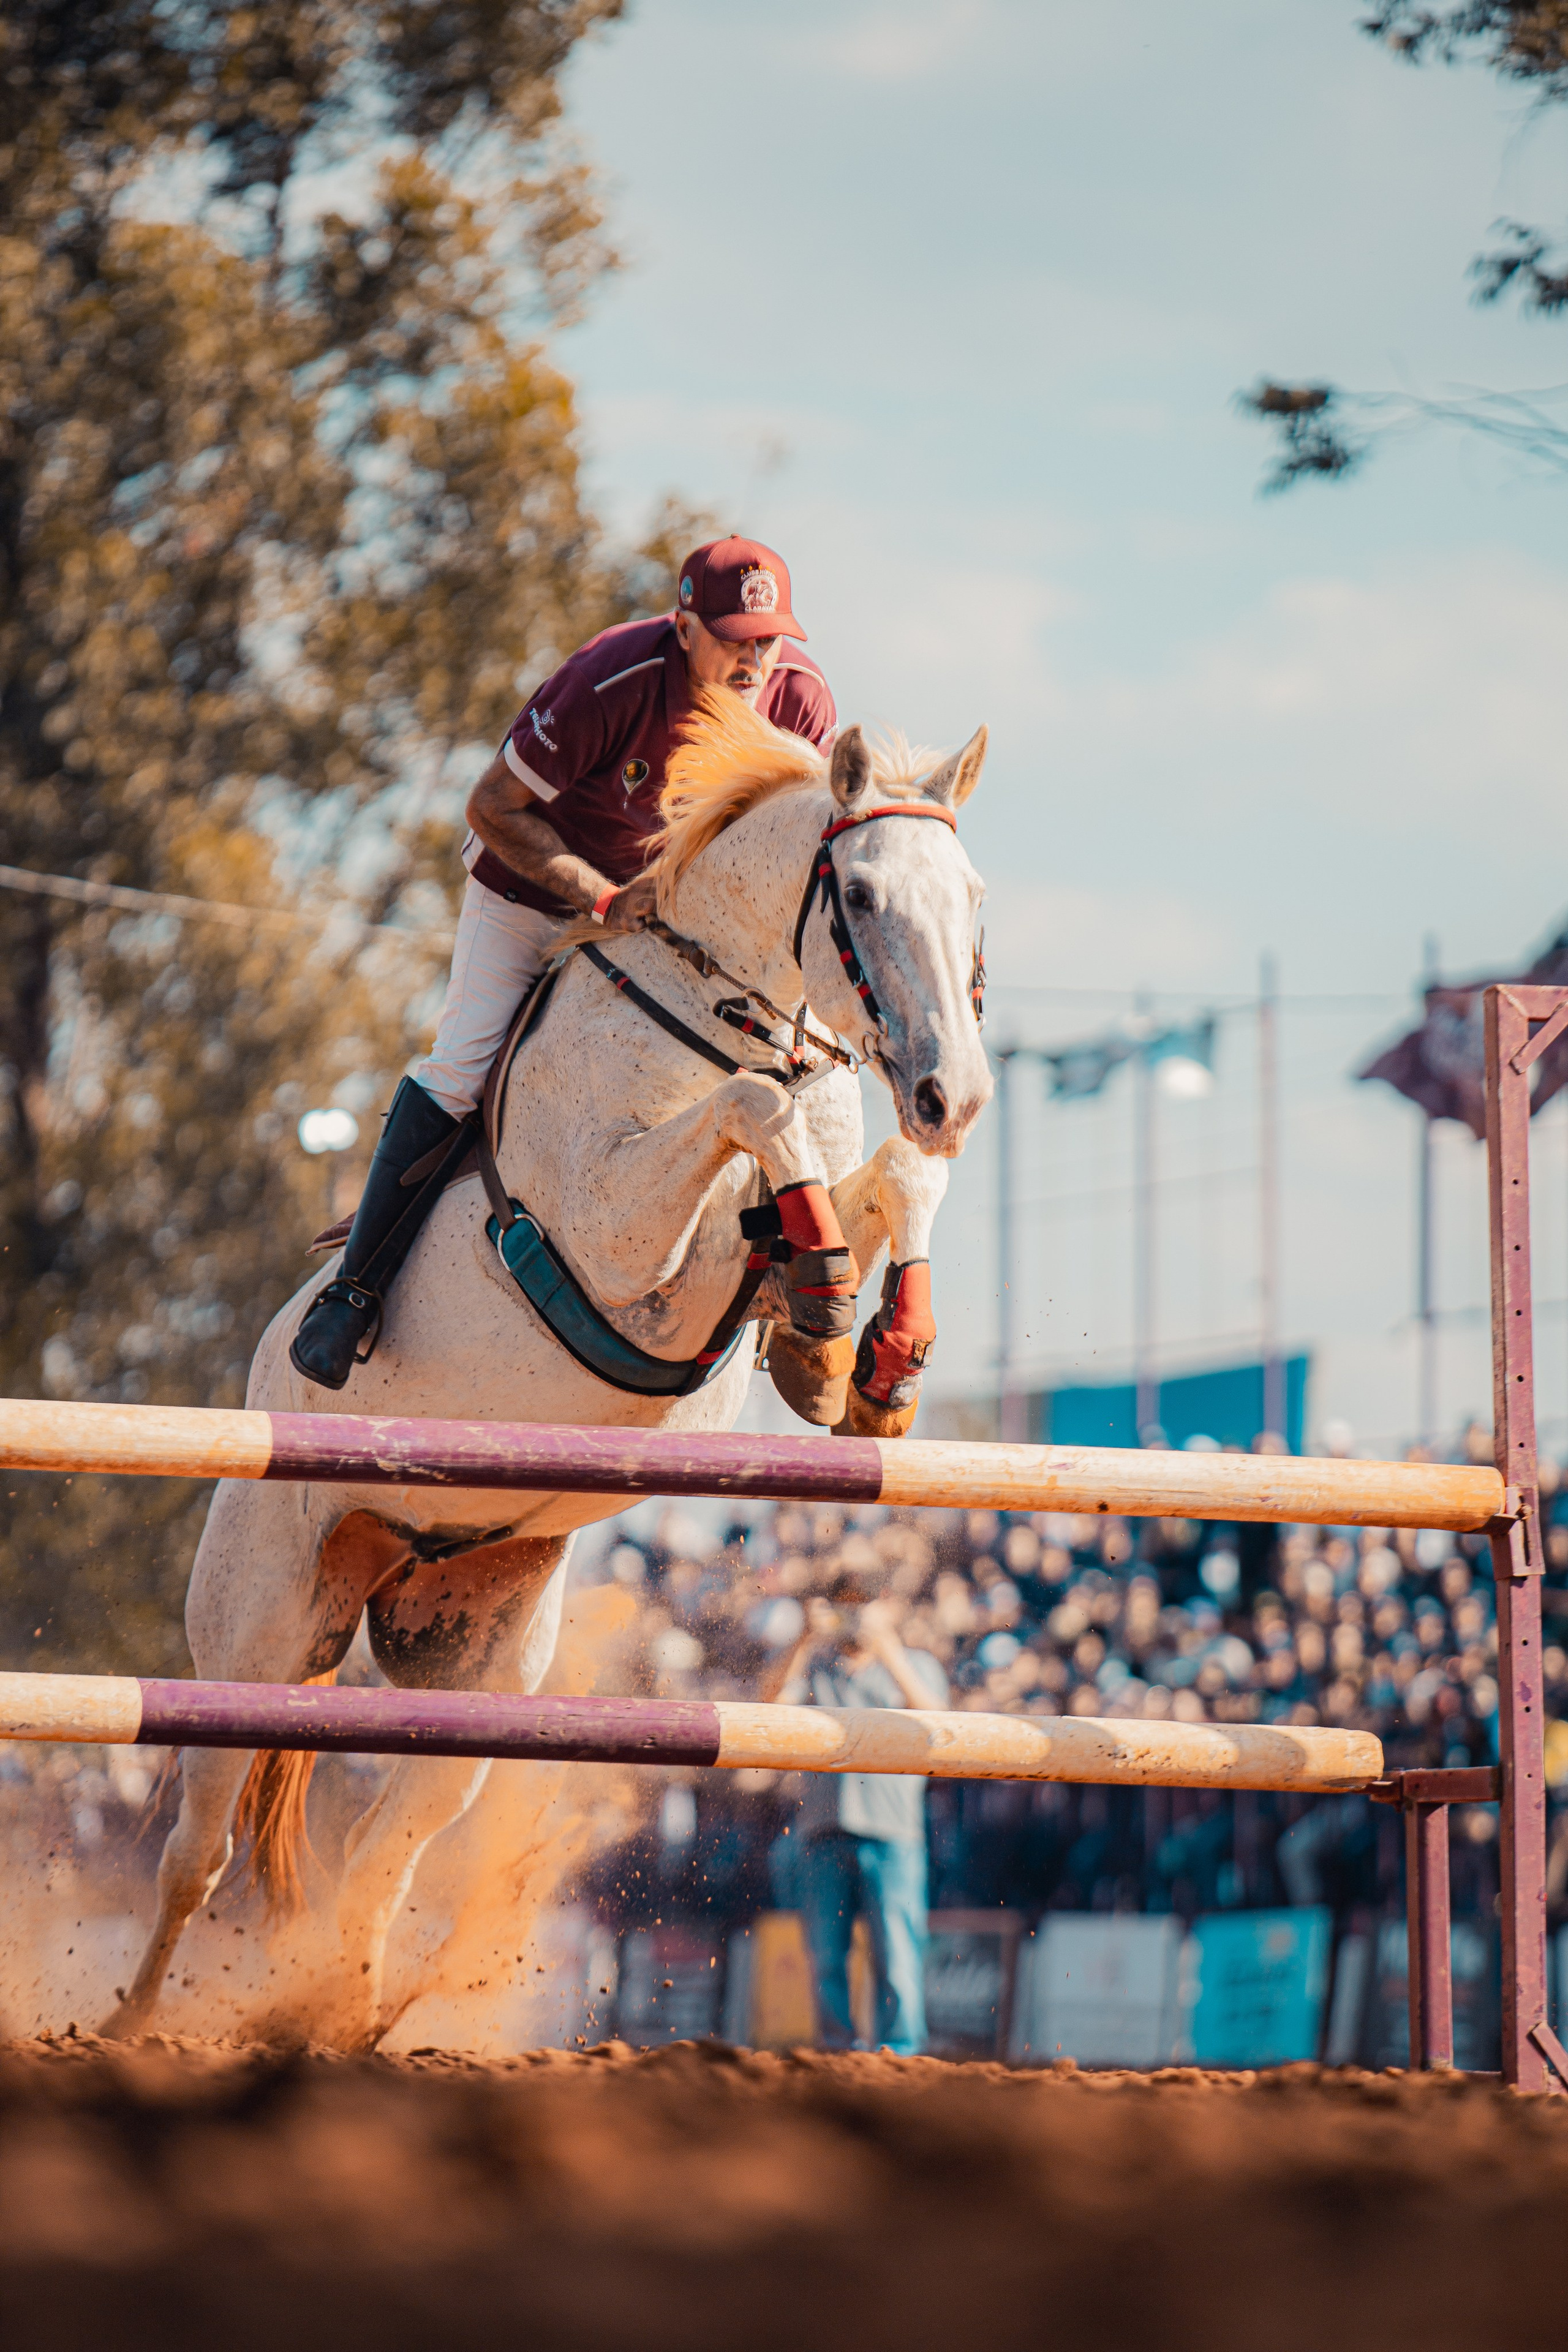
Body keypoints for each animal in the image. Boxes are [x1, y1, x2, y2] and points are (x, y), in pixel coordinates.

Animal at [103, 693, 992, 2045]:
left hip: (479, 1675)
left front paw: (863, 1364)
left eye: (973, 896)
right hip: (256, 1634)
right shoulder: (618, 1246)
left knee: (380, 1858)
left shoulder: (743, 1249)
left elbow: (884, 1179)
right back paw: (130, 2027)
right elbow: (757, 1116)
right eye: (864, 895)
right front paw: (833, 1307)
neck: (726, 1008)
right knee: (195, 1852)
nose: (955, 1094)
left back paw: (341, 2021)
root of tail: (392, 1550)